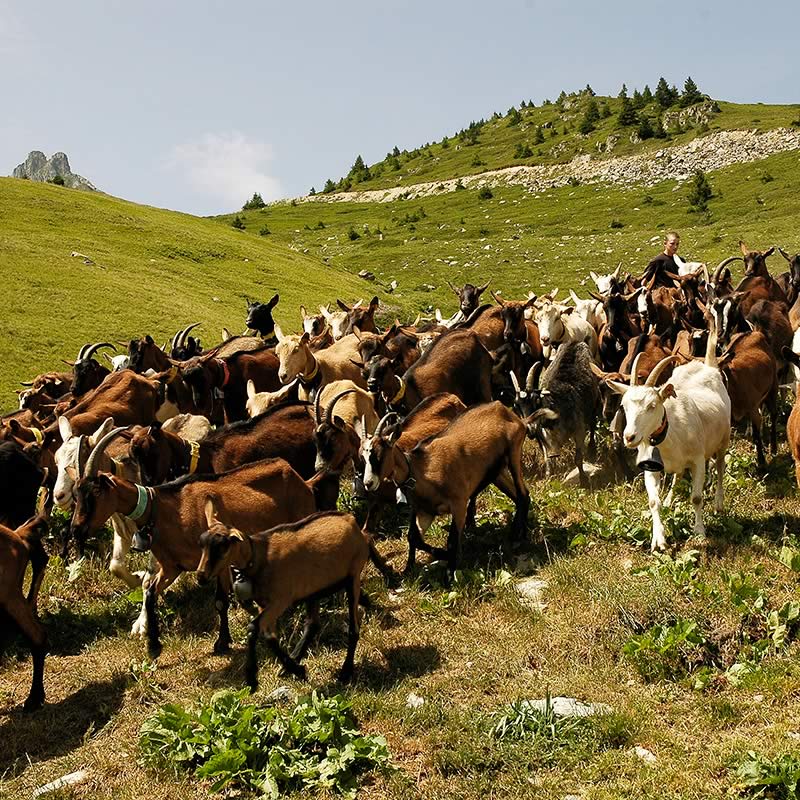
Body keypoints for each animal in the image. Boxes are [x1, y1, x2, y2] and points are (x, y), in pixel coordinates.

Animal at [360, 404, 524, 572]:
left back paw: (518, 537)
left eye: (378, 456)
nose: (368, 483)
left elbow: (451, 542)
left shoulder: (459, 504)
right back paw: (517, 534)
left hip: (513, 454)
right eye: (363, 458)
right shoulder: (426, 511)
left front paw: (451, 570)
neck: (420, 468)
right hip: (497, 474)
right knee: (519, 496)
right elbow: (414, 538)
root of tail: (501, 408)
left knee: (523, 495)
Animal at [608, 330, 732, 552]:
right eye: (624, 405)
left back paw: (718, 503)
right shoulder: (650, 466)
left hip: (723, 439)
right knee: (678, 474)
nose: (630, 437)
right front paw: (658, 540)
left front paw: (699, 532)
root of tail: (708, 367)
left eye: (652, 405)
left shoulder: (698, 460)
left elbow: (696, 497)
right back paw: (669, 499)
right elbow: (652, 502)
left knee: (719, 467)